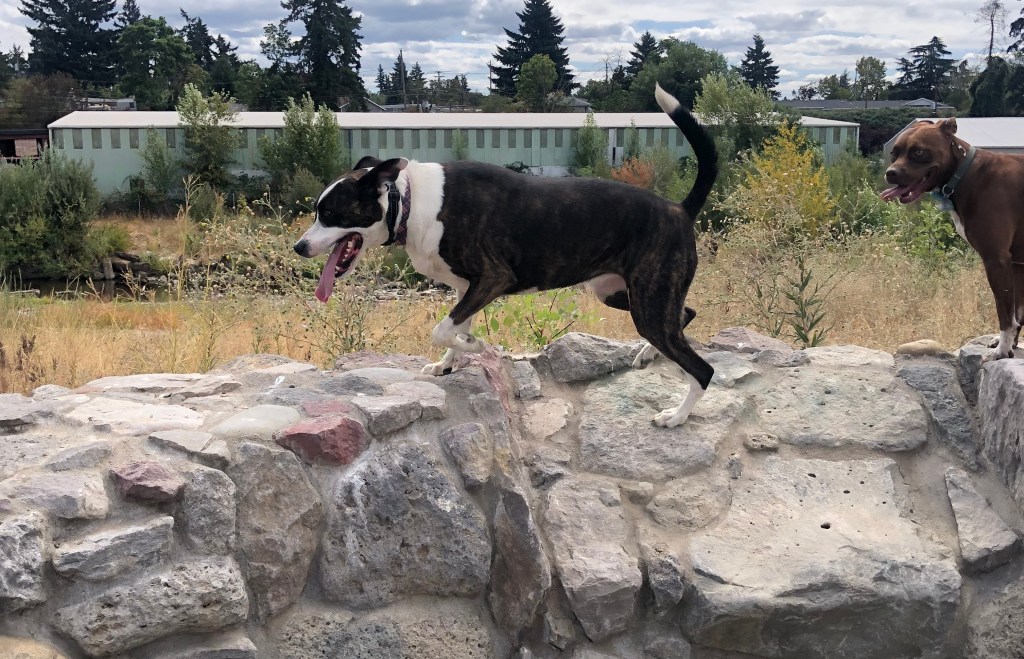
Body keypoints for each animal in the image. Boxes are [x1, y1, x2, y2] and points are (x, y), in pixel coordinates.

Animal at [294, 83, 718, 427]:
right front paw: (450, 361)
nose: (299, 247)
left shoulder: (492, 278)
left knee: (703, 369)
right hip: (621, 294)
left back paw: (677, 416)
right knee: (686, 314)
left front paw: (476, 347)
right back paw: (649, 354)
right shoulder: (465, 287)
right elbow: (453, 326)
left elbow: (443, 329)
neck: (410, 202)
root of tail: (678, 209)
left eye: (330, 213)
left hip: (648, 304)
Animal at [883, 118, 1024, 360]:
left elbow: (1004, 312)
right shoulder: (1016, 263)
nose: (890, 172)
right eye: (894, 153)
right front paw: (1011, 345)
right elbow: (1016, 310)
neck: (966, 174)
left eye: (918, 152)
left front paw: (1003, 349)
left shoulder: (996, 260)